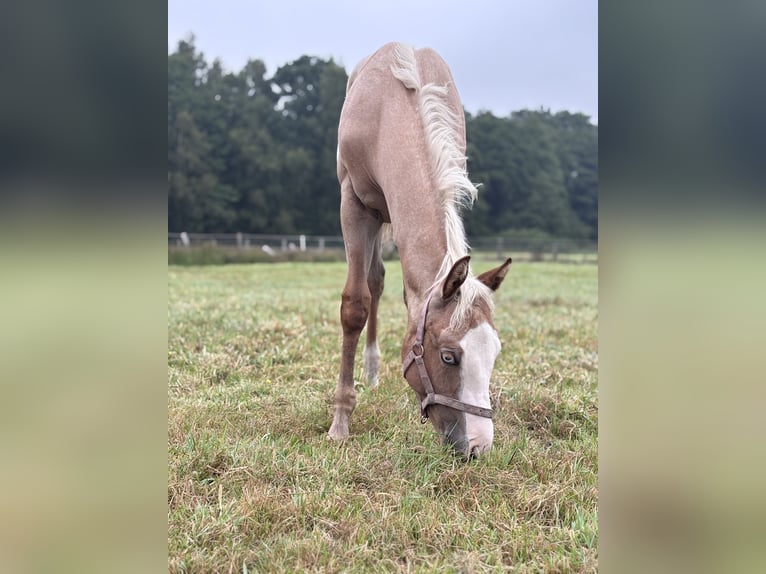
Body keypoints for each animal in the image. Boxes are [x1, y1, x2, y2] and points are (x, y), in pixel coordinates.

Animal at [328, 42, 512, 458]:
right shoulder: (353, 203)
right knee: (371, 285)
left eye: (494, 352)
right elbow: (354, 305)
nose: (478, 447)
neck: (389, 111)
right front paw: (340, 421)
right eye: (448, 356)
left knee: (378, 282)